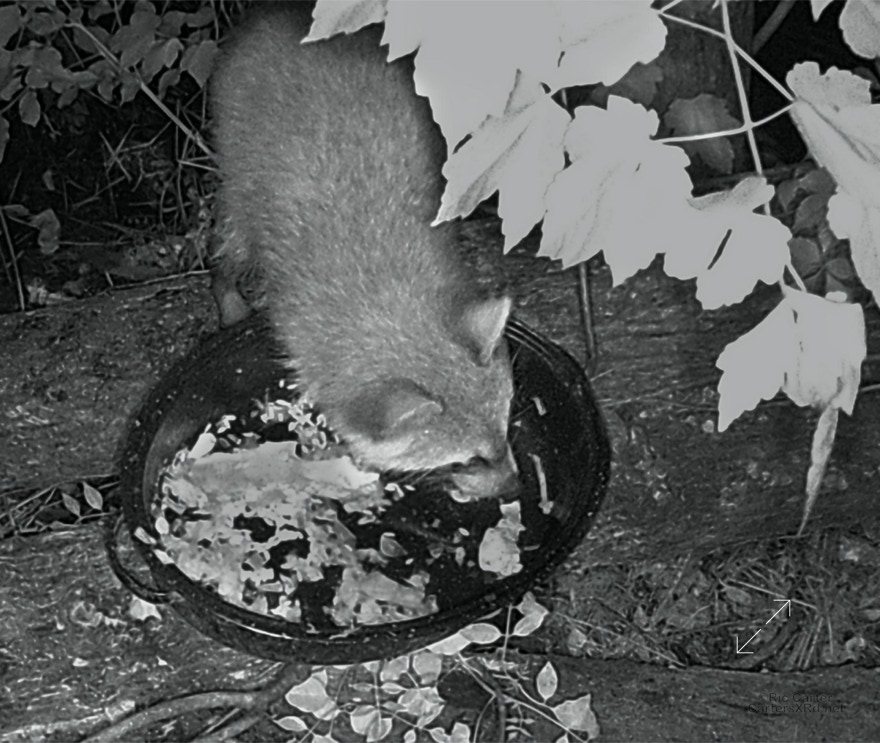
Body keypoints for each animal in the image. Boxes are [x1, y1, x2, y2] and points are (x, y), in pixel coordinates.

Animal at [209, 3, 518, 497]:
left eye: (507, 430)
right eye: (466, 460)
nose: (514, 489)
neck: (389, 302)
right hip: (235, 150)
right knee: (232, 234)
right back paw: (226, 288)